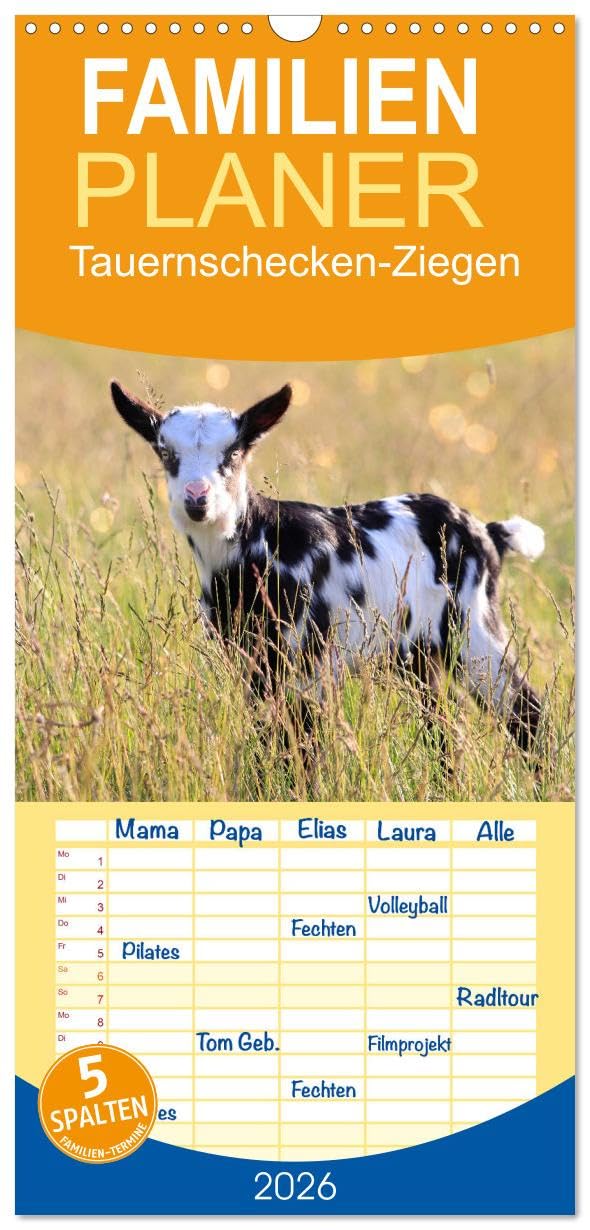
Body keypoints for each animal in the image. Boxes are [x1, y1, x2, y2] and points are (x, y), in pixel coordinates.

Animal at [111, 380, 546, 767]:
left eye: (233, 452)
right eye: (166, 453)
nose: (197, 499)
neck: (259, 544)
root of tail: (487, 533)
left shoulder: (309, 663)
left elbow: (304, 749)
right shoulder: (251, 663)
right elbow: (268, 740)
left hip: (471, 629)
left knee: (526, 711)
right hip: (417, 653)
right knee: (443, 727)